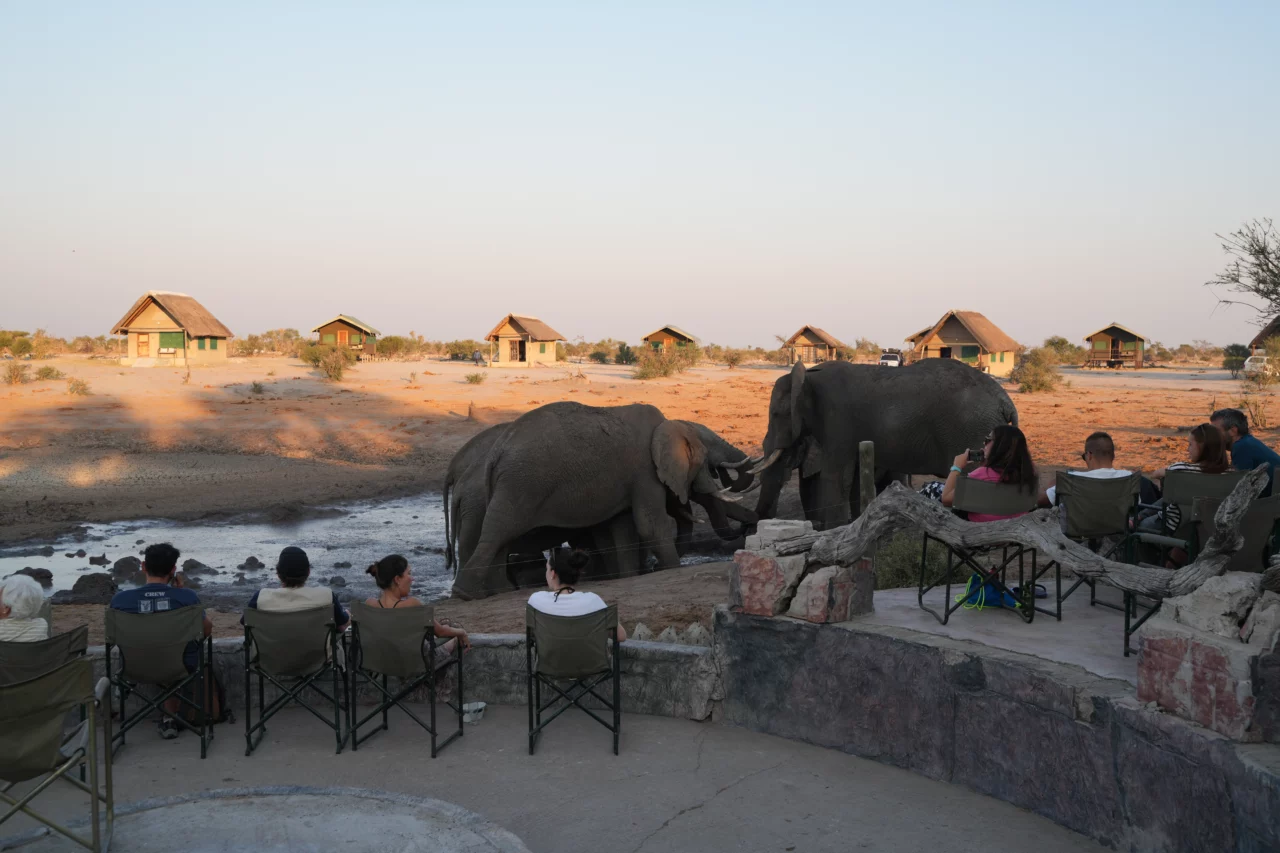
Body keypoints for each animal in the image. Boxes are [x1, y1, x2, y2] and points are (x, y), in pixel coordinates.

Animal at [448, 402, 758, 599]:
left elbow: (622, 529)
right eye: (708, 464)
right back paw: (469, 594)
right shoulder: (644, 470)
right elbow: (648, 524)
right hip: (520, 484)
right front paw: (668, 570)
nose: (750, 527)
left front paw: (629, 576)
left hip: (506, 487)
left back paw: (489, 592)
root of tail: (496, 454)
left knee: (499, 534)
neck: (670, 424)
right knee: (499, 530)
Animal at [751, 358, 1020, 530]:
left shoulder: (838, 420)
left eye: (776, 414)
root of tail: (1005, 400)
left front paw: (831, 532)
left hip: (973, 431)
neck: (808, 377)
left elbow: (835, 476)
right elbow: (853, 478)